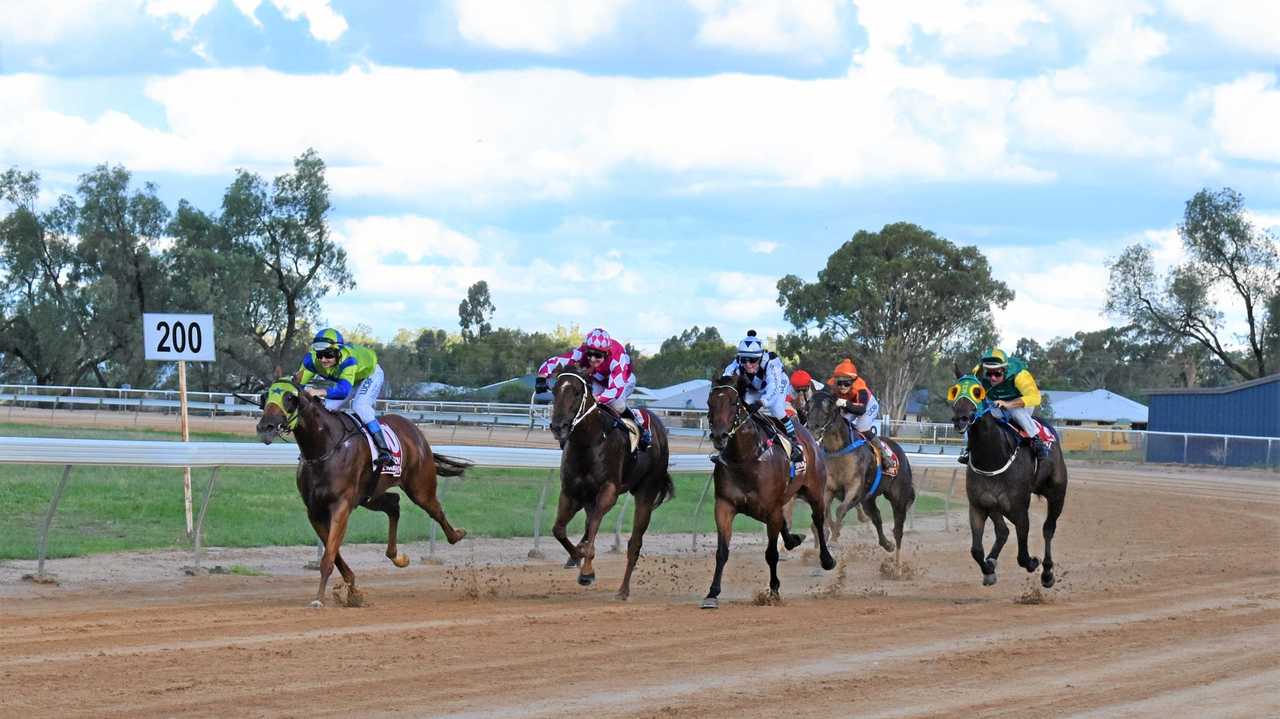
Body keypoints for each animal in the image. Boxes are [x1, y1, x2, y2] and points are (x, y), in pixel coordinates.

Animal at [254, 378, 471, 601]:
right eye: (265, 396)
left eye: (290, 398)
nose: (265, 426)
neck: (324, 448)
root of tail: (415, 431)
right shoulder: (314, 510)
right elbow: (333, 553)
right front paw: (352, 589)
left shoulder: (341, 506)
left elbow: (329, 555)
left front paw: (319, 598)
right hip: (369, 496)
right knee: (394, 504)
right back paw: (397, 557)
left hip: (420, 487)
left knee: (435, 509)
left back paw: (457, 535)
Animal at [545, 365, 675, 596]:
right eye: (554, 390)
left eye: (576, 392)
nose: (558, 426)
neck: (588, 443)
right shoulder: (571, 492)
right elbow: (558, 529)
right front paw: (576, 556)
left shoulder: (608, 491)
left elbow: (595, 525)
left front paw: (587, 572)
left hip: (646, 491)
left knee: (635, 543)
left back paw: (623, 590)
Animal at [706, 376, 834, 603]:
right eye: (710, 403)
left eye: (733, 402)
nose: (719, 436)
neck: (745, 459)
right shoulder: (724, 505)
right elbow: (722, 552)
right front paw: (712, 592)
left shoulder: (771, 508)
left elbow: (771, 553)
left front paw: (773, 590)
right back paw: (794, 540)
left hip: (815, 491)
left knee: (818, 520)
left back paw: (826, 559)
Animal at [803, 386, 916, 560]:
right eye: (807, 407)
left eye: (828, 407)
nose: (812, 429)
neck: (838, 450)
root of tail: (900, 451)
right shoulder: (829, 489)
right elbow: (824, 512)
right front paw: (828, 534)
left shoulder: (855, 488)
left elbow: (840, 510)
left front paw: (834, 539)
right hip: (869, 499)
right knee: (877, 517)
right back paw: (887, 545)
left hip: (898, 497)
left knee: (898, 528)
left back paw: (897, 562)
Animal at [952, 368, 1070, 588]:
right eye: (954, 390)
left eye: (977, 392)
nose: (960, 418)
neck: (992, 458)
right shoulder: (979, 505)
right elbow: (976, 549)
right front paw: (989, 569)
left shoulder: (1020, 510)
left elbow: (1023, 556)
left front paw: (1034, 563)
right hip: (994, 505)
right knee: (1003, 531)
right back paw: (991, 563)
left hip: (1057, 493)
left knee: (1048, 529)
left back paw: (1047, 573)